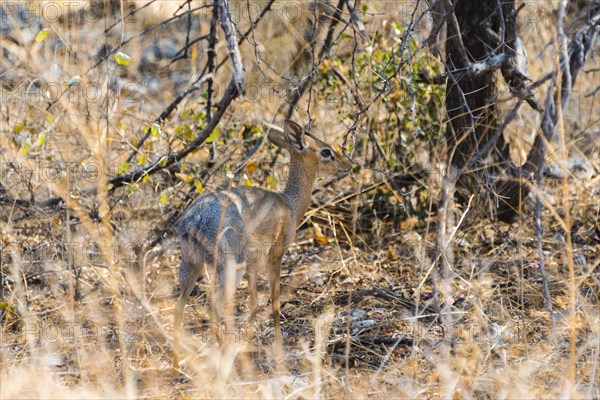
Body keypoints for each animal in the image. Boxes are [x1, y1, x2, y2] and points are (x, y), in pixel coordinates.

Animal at [173, 119, 352, 362]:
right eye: (326, 151)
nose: (348, 165)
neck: (290, 204)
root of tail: (195, 219)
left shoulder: (253, 266)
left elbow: (254, 303)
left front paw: (250, 345)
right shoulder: (275, 255)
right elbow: (274, 303)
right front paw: (278, 349)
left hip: (191, 265)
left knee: (179, 308)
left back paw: (177, 363)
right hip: (228, 269)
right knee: (212, 307)